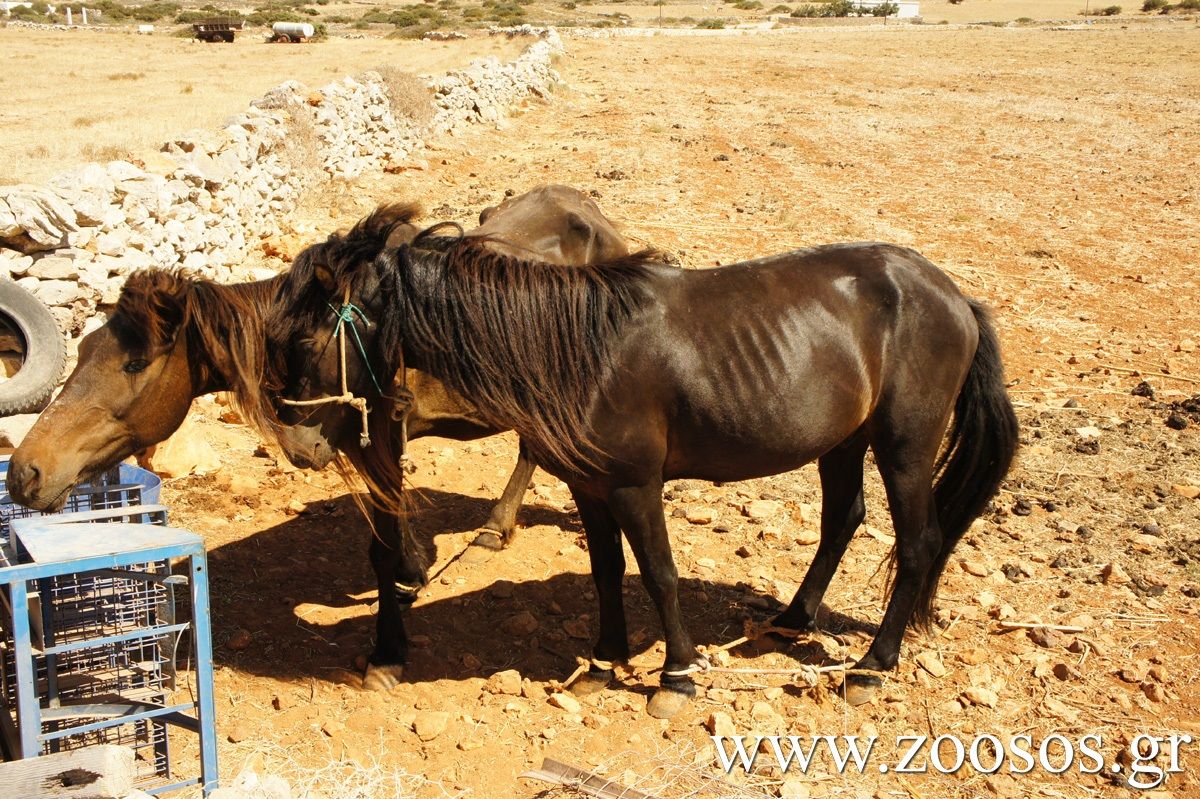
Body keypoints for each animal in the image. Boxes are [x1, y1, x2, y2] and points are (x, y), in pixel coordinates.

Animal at [4, 187, 633, 691]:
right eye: (84, 350)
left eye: (134, 364)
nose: (26, 472)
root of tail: (592, 214)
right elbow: (389, 532)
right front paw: (413, 572)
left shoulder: (381, 438)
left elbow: (382, 547)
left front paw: (387, 652)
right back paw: (495, 528)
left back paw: (497, 528)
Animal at [267, 205, 1017, 715]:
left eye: (307, 339)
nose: (300, 448)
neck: (575, 347)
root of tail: (953, 295)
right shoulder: (590, 489)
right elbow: (606, 572)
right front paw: (605, 660)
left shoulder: (634, 485)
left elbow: (659, 575)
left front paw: (675, 676)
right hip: (843, 440)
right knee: (842, 519)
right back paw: (793, 620)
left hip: (905, 445)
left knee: (918, 544)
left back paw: (872, 665)